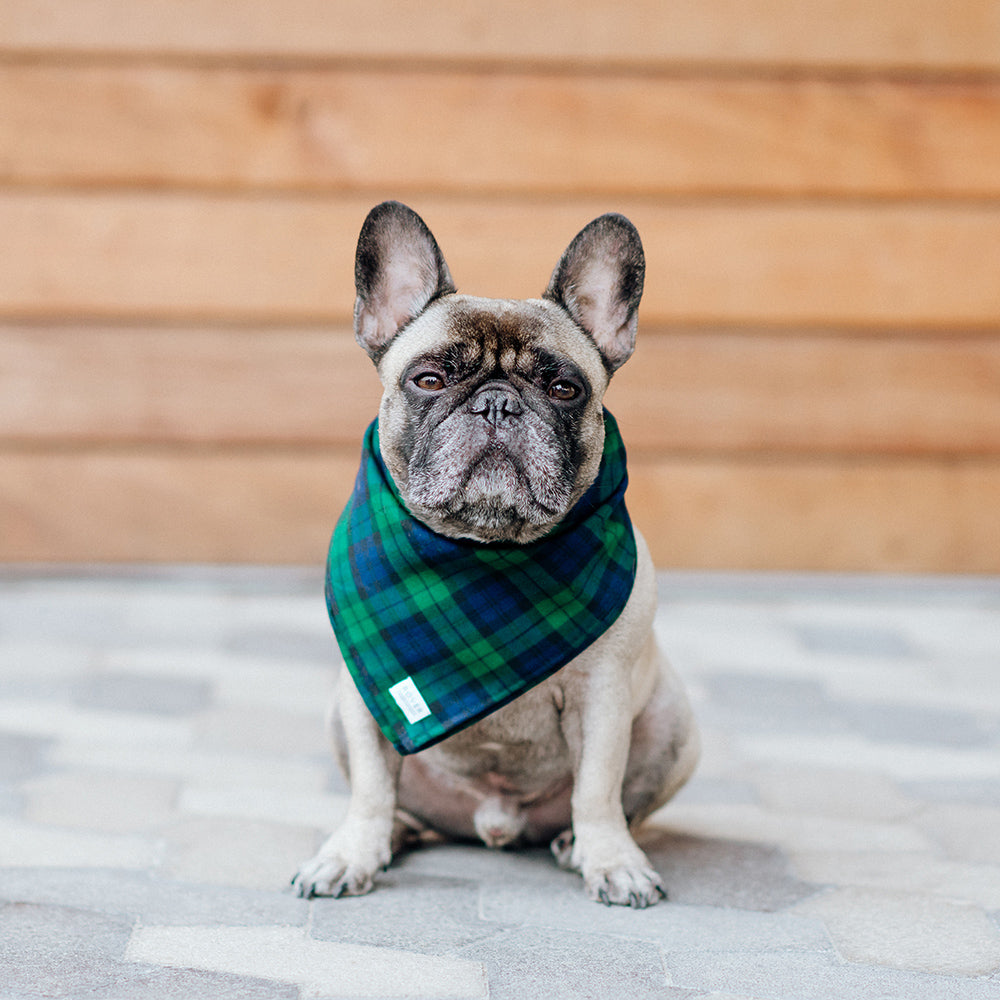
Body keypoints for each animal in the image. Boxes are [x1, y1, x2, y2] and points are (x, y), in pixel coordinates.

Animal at [292, 201, 696, 908]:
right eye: (429, 379)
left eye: (563, 389)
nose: (498, 402)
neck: (485, 551)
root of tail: (494, 822)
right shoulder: (365, 700)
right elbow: (370, 786)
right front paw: (351, 853)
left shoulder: (604, 695)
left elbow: (599, 788)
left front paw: (610, 859)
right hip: (337, 719)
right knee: (397, 800)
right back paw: (396, 832)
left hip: (676, 724)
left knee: (622, 801)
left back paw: (572, 843)